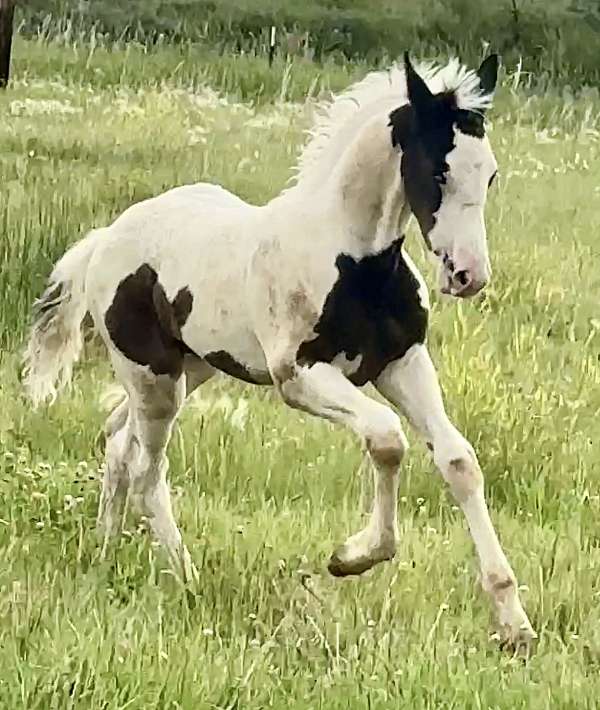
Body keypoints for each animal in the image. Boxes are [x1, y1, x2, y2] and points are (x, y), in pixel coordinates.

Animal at [24, 52, 536, 648]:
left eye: (490, 173)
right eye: (438, 171)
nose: (468, 275)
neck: (352, 261)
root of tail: (105, 238)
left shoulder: (402, 363)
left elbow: (458, 461)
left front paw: (513, 622)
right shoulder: (299, 377)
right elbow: (387, 439)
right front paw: (352, 557)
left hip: (188, 370)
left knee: (116, 442)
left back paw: (105, 554)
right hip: (154, 379)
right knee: (147, 468)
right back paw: (186, 578)